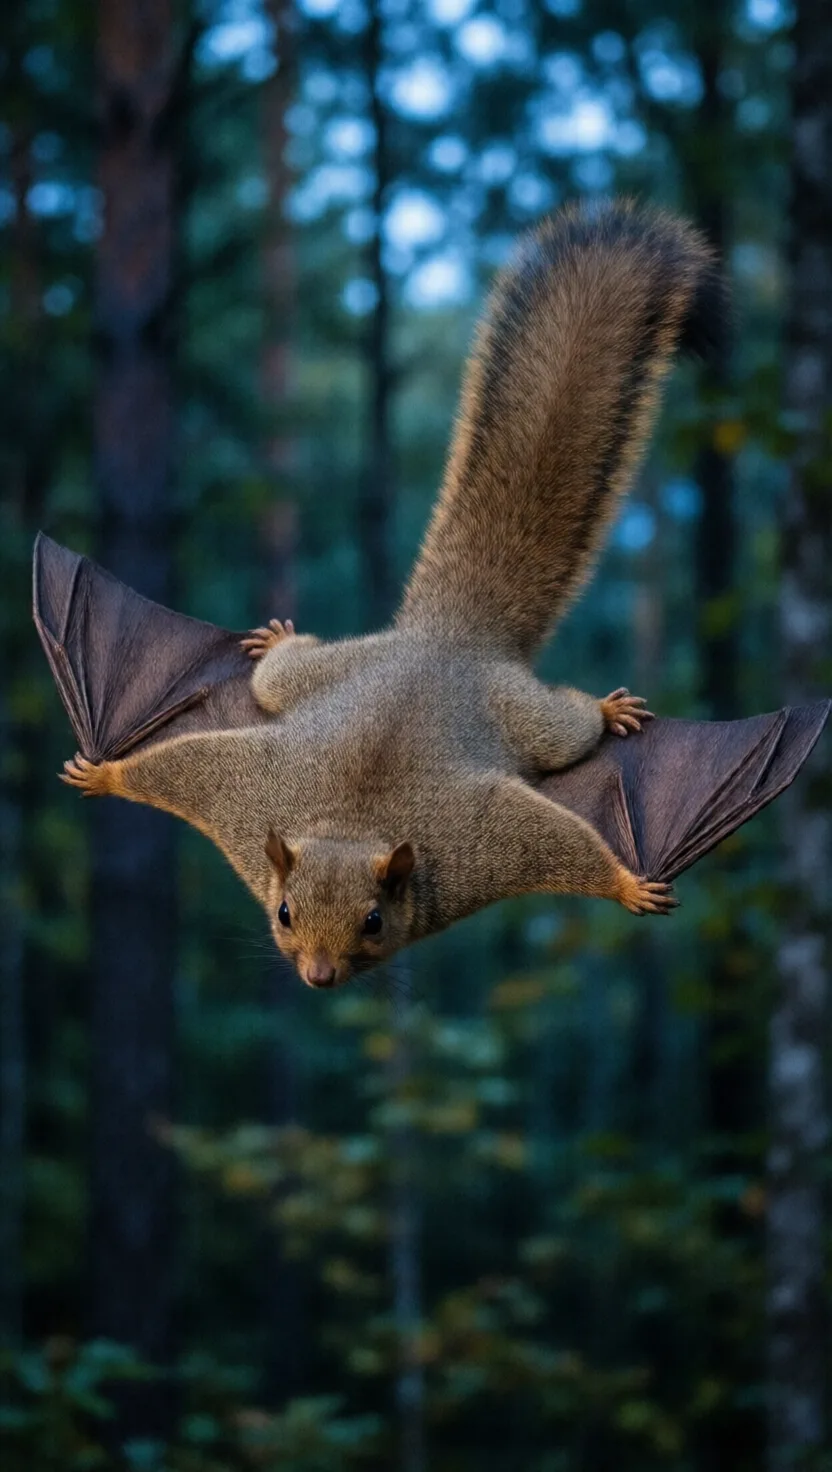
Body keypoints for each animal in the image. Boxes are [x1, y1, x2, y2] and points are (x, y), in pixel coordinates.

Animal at [62, 199, 725, 991]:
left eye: (374, 921)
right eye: (284, 913)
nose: (319, 976)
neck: (350, 827)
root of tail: (447, 634)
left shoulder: (484, 846)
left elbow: (562, 844)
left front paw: (628, 883)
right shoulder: (233, 798)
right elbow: (169, 768)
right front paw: (105, 771)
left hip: (522, 715)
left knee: (567, 728)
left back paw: (605, 710)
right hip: (323, 674)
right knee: (279, 673)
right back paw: (279, 640)